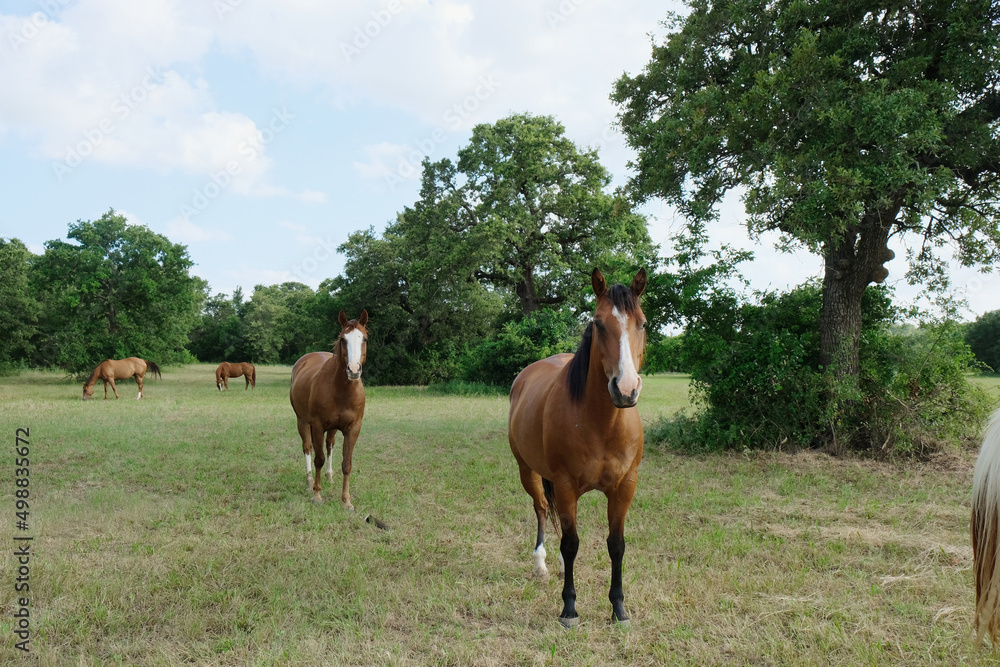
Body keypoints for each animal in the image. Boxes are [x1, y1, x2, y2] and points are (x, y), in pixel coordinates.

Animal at [288, 310, 370, 508]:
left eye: (364, 339)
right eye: (342, 339)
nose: (353, 370)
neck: (341, 391)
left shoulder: (353, 429)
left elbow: (346, 463)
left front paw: (346, 501)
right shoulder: (317, 426)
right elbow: (319, 459)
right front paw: (317, 495)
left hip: (332, 429)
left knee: (329, 446)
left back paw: (330, 476)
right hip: (302, 422)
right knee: (308, 448)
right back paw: (310, 481)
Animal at [508, 268, 648, 628]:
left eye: (642, 323)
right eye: (598, 324)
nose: (625, 389)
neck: (602, 423)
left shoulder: (625, 487)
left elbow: (616, 545)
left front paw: (619, 609)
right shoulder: (565, 484)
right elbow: (571, 543)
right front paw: (569, 608)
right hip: (527, 471)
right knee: (543, 510)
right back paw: (541, 563)